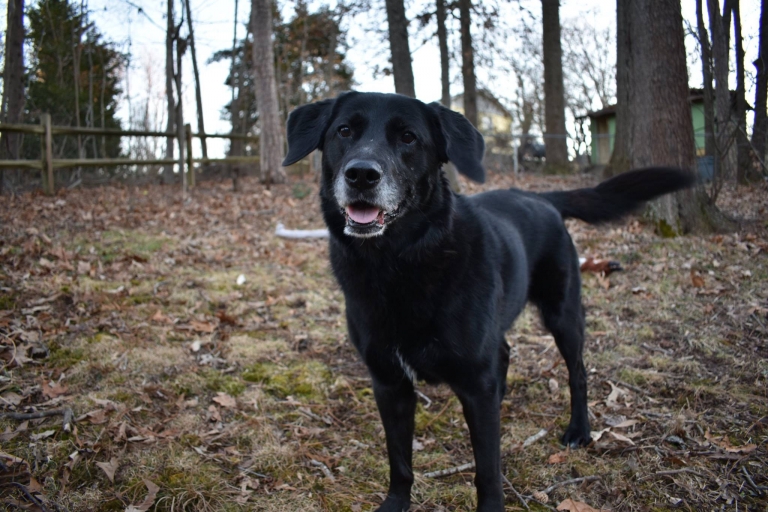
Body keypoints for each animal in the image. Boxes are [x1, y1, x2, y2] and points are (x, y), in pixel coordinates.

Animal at [284, 93, 696, 512]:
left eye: (408, 137)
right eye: (344, 131)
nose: (362, 175)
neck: (397, 264)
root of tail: (538, 196)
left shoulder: (475, 387)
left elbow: (487, 468)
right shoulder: (389, 382)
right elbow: (399, 459)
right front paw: (395, 504)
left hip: (562, 315)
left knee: (577, 372)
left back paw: (579, 429)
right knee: (506, 350)